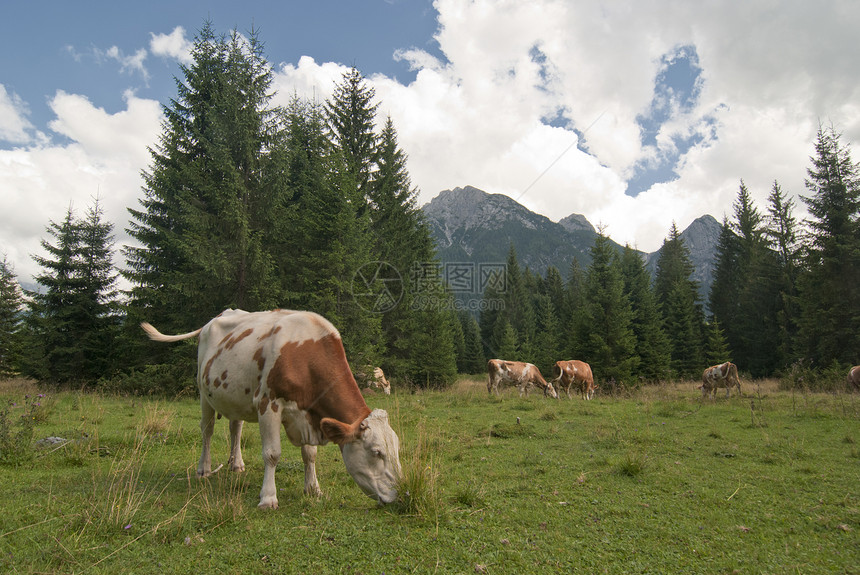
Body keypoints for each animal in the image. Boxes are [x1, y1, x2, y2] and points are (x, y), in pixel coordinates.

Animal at [142, 310, 404, 508]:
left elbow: (310, 455)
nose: (401, 494)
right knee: (207, 430)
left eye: (397, 449)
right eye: (376, 452)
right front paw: (268, 498)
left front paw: (313, 489)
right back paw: (203, 469)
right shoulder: (269, 404)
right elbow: (272, 453)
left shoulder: (309, 413)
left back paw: (236, 464)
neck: (305, 356)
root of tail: (216, 318)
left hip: (236, 396)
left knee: (235, 428)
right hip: (204, 392)